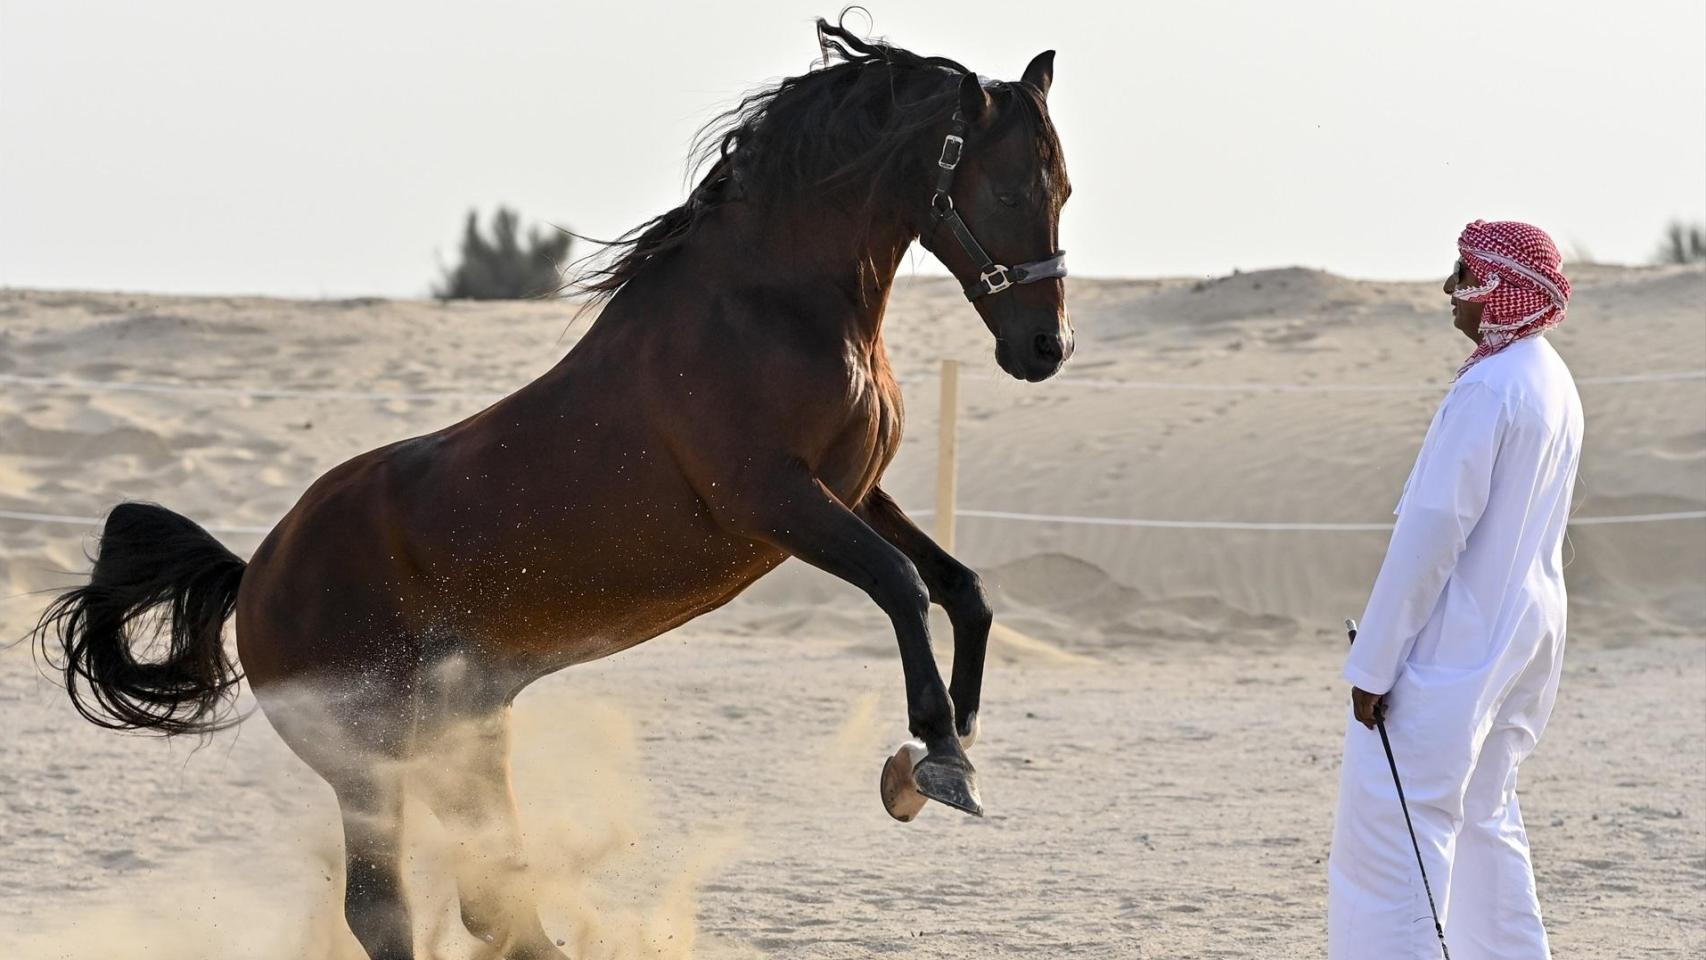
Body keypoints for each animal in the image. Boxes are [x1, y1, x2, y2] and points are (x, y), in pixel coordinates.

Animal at [32, 20, 1072, 960]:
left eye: (1062, 188)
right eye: (1009, 185)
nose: (1044, 349)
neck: (770, 304)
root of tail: (255, 574)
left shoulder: (853, 492)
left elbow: (963, 588)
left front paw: (942, 746)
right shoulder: (778, 503)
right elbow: (903, 582)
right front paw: (939, 761)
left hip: (465, 735)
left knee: (495, 900)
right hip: (370, 764)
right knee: (387, 912)